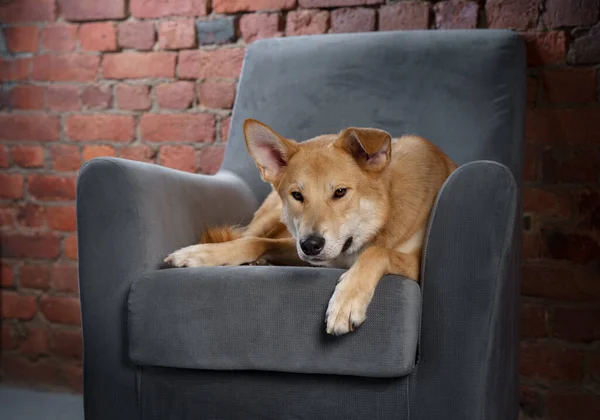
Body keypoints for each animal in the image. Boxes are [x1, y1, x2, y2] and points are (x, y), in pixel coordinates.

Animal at [164, 118, 454, 334]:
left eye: (340, 192)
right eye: (297, 195)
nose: (311, 245)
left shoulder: (417, 263)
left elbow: (377, 252)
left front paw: (346, 300)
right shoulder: (301, 249)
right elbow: (255, 242)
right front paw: (202, 253)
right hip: (270, 217)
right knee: (249, 233)